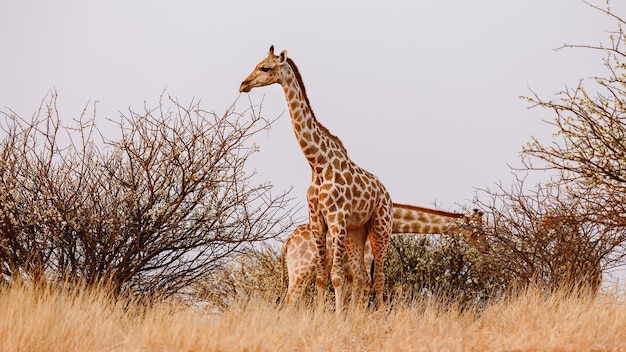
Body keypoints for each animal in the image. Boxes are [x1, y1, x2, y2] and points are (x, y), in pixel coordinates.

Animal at [239, 45, 390, 312]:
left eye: (265, 67)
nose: (243, 84)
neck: (318, 164)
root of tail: (386, 193)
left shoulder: (337, 218)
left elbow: (336, 277)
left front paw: (338, 318)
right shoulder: (318, 219)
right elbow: (322, 277)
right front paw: (323, 316)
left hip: (381, 226)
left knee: (379, 278)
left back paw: (379, 315)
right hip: (357, 231)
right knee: (362, 277)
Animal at [280, 204, 486, 306]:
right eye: (478, 231)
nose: (486, 247)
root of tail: (288, 241)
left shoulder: (350, 274)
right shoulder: (364, 263)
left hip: (302, 273)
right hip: (301, 271)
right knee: (290, 300)